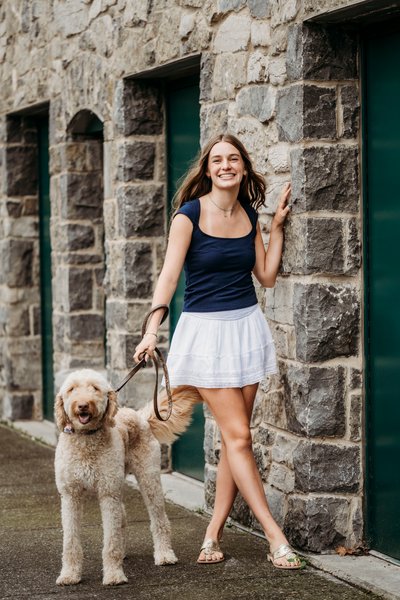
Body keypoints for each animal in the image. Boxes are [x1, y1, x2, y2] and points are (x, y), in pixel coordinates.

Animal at [54, 368, 200, 588]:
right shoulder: (71, 495)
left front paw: (114, 575)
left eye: (95, 388)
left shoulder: (108, 494)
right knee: (121, 515)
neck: (86, 439)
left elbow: (110, 541)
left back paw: (164, 554)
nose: (83, 405)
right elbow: (70, 541)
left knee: (159, 520)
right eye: (72, 389)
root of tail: (140, 416)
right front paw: (70, 575)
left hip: (148, 479)